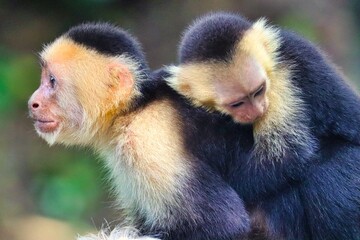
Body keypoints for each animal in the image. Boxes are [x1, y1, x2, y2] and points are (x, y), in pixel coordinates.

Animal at [26, 21, 252, 239]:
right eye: (44, 77)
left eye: (52, 81)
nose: (32, 103)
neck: (133, 110)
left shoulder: (148, 142)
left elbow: (226, 225)